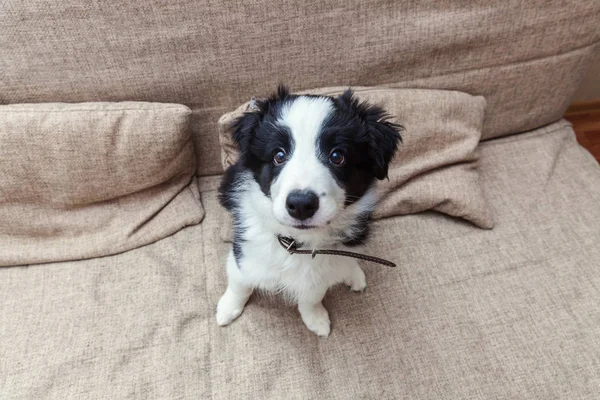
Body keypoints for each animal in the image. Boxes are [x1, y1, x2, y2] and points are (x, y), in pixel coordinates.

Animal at [217, 86, 404, 336]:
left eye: (337, 156)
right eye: (278, 155)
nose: (301, 204)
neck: (297, 243)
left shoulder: (320, 274)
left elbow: (312, 296)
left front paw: (316, 319)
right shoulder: (244, 252)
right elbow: (240, 282)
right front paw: (227, 308)